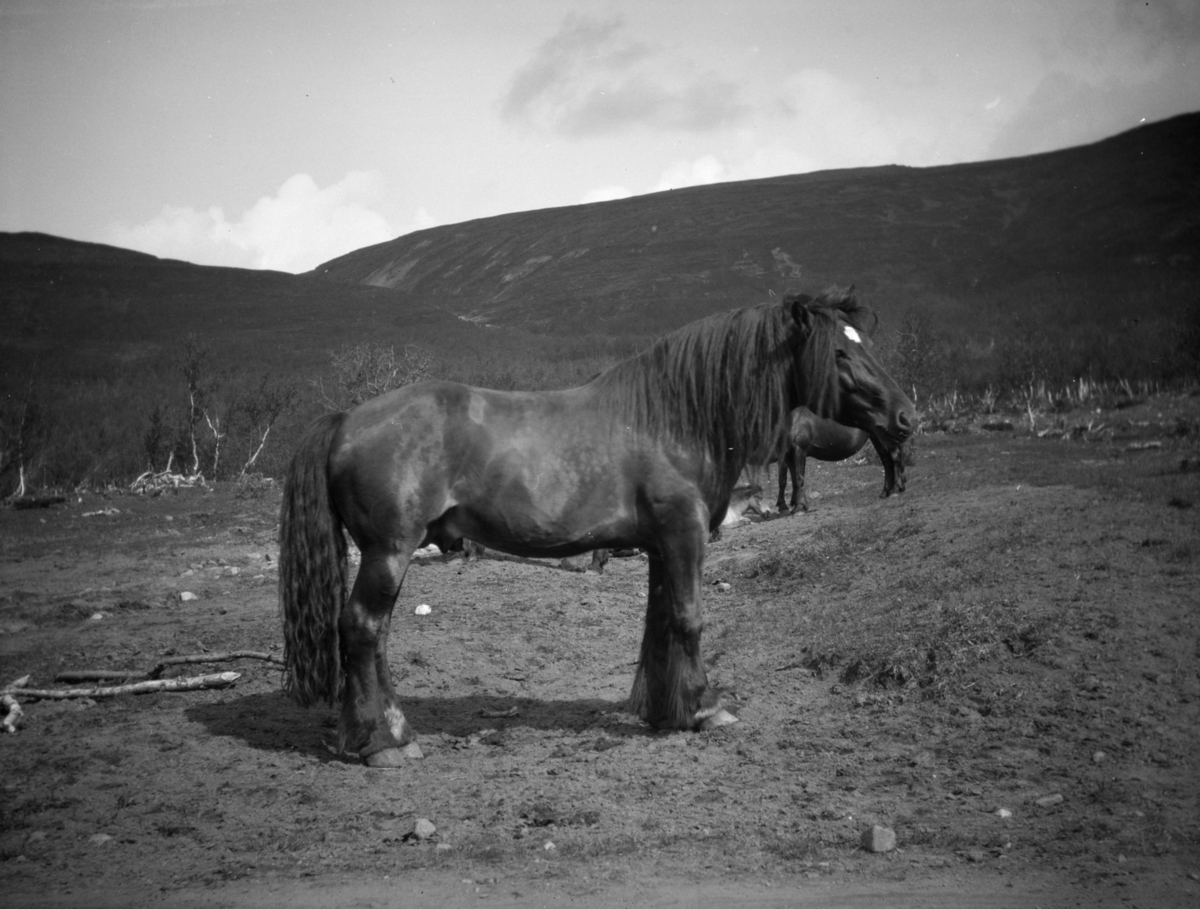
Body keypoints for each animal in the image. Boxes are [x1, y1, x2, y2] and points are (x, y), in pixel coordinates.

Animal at [777, 410, 907, 515]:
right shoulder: (788, 455)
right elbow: (793, 480)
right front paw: (796, 506)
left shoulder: (799, 449)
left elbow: (799, 479)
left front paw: (799, 507)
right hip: (876, 438)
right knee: (887, 461)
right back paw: (886, 492)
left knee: (895, 456)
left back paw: (895, 489)